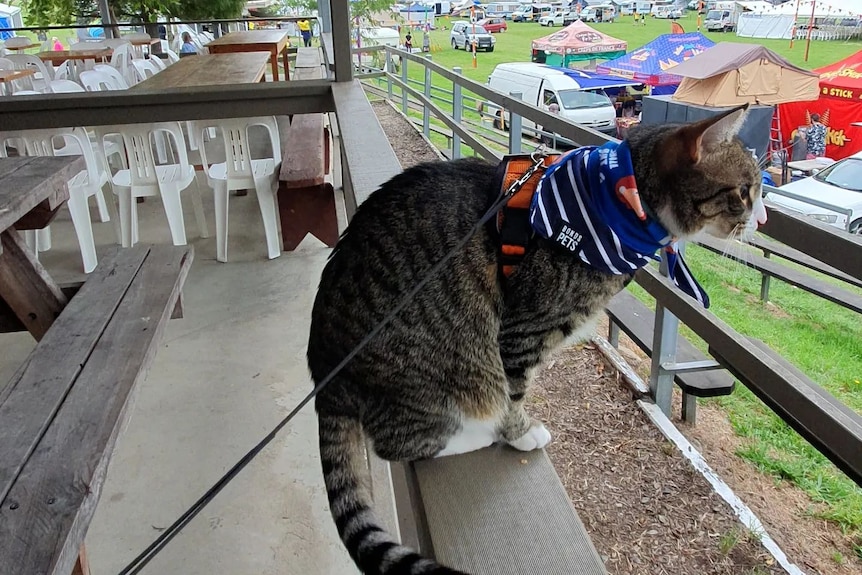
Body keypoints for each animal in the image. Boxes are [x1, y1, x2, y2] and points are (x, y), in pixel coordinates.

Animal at [308, 104, 768, 575]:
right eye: (745, 190)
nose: (762, 218)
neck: (621, 200)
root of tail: (325, 371)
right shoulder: (522, 329)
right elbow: (514, 392)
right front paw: (519, 432)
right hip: (439, 373)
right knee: (401, 441)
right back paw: (474, 434)